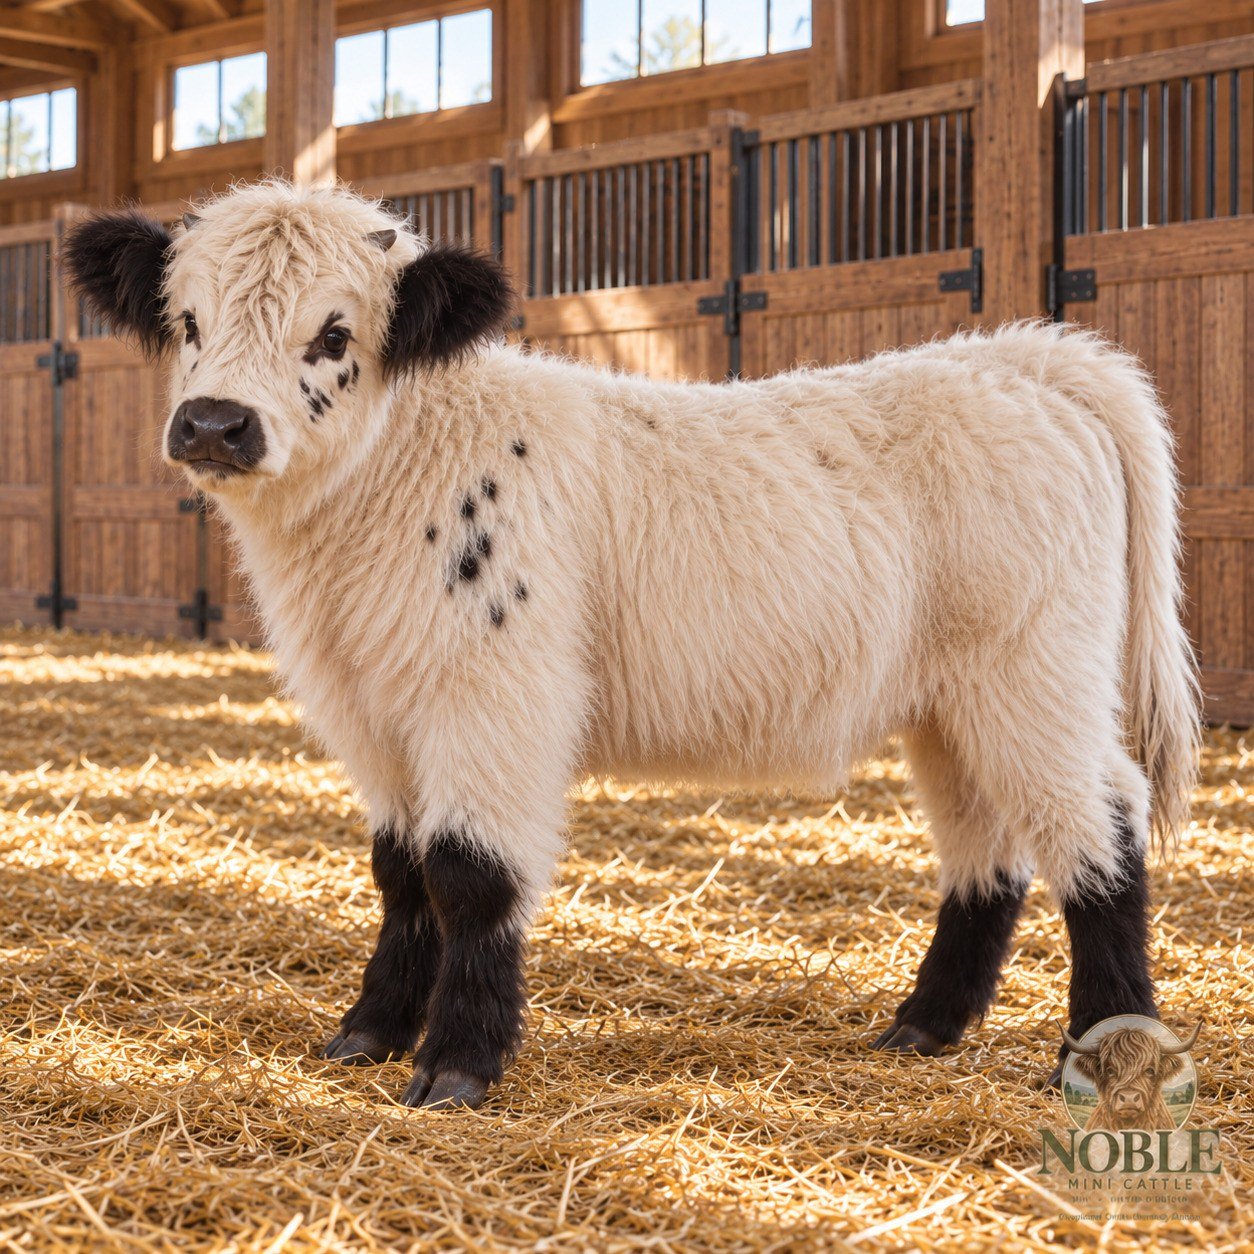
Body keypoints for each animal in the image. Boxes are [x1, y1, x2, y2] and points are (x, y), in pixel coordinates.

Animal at [61, 182, 1200, 1111]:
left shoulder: (495, 693)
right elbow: (400, 873)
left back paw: (1103, 1053)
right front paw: (368, 1034)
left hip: (1036, 674)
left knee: (1101, 826)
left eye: (335, 334)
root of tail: (1025, 357)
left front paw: (456, 1067)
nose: (216, 423)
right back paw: (922, 1027)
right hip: (949, 702)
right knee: (987, 848)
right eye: (187, 320)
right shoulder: (373, 711)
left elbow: (469, 873)